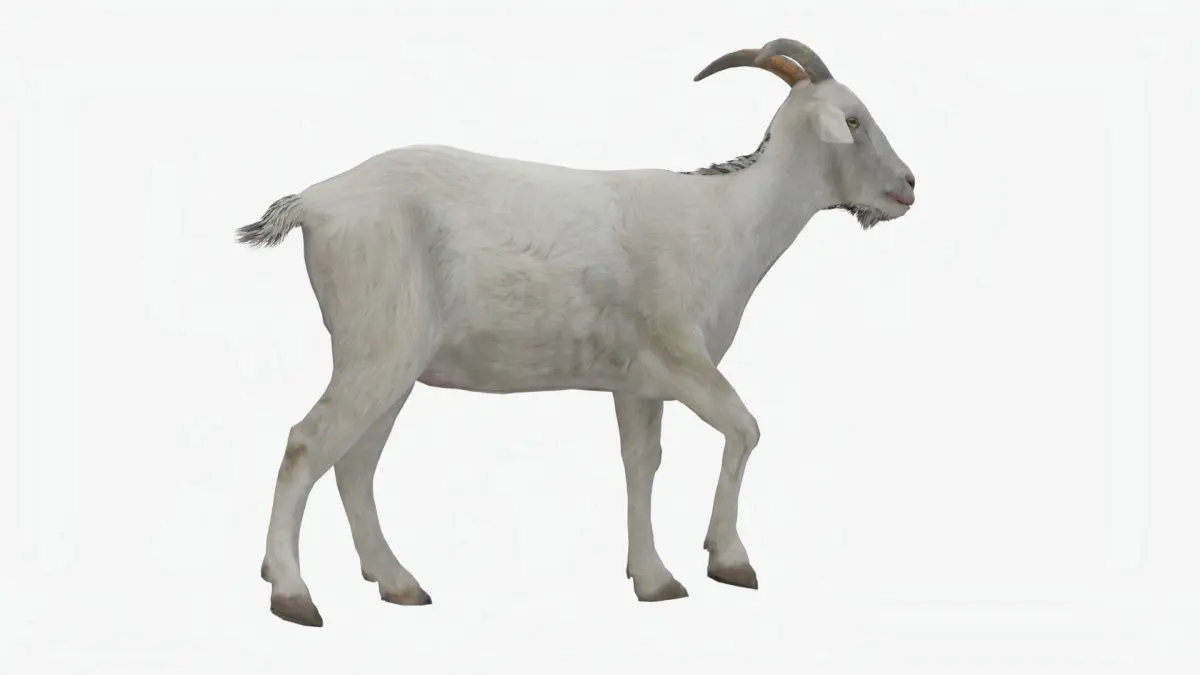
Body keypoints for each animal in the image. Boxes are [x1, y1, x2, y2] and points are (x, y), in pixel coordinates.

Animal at [239, 37, 917, 627]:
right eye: (853, 120)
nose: (908, 186)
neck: (724, 219)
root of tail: (314, 203)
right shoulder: (681, 357)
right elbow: (745, 430)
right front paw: (728, 562)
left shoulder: (637, 383)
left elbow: (642, 465)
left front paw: (655, 581)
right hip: (375, 352)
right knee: (307, 444)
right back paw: (293, 595)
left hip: (395, 368)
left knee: (356, 465)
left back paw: (399, 584)